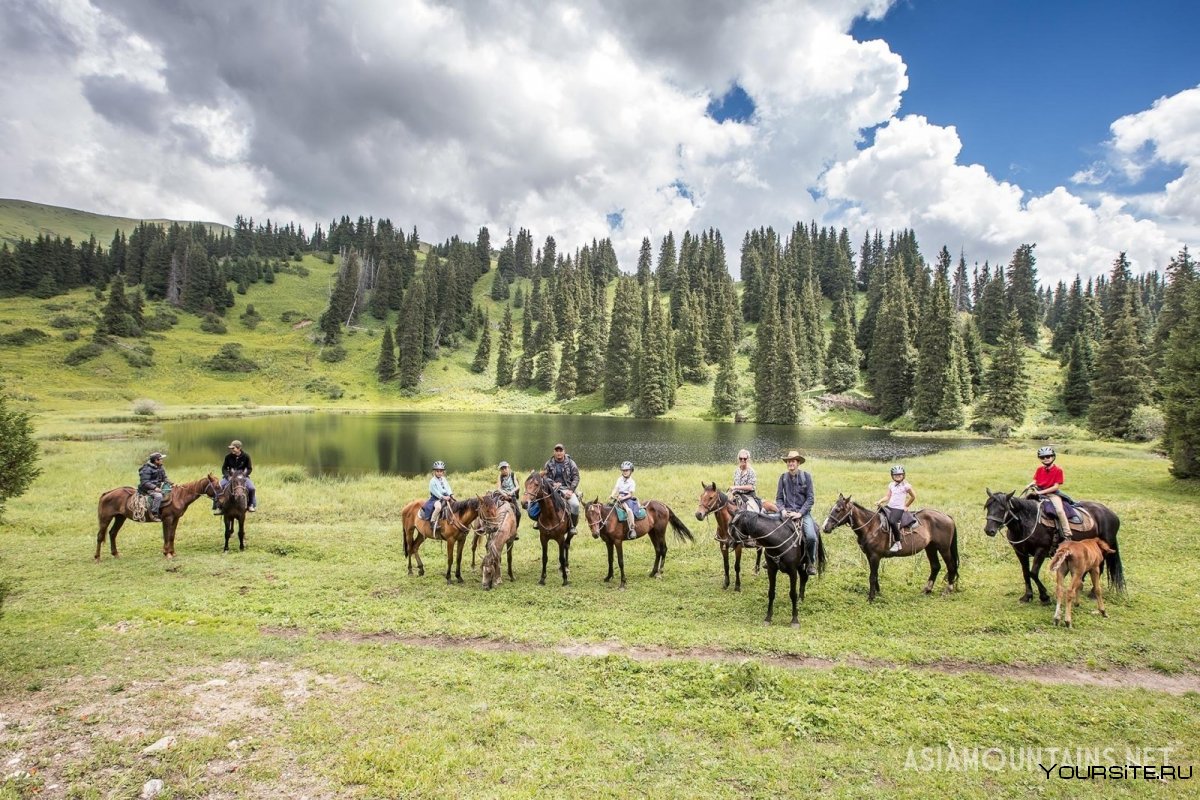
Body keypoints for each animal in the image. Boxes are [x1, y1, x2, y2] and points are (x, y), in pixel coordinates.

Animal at [820, 491, 960, 604]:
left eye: (838, 510)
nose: (825, 527)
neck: (871, 527)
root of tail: (947, 517)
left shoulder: (875, 556)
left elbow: (872, 576)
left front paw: (871, 598)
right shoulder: (869, 556)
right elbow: (874, 574)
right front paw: (877, 593)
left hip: (944, 549)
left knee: (951, 566)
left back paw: (948, 590)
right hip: (930, 547)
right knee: (935, 566)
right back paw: (927, 589)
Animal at [984, 489, 1123, 606]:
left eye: (1002, 508)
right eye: (988, 507)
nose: (989, 530)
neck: (1027, 521)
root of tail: (1113, 515)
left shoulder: (1041, 550)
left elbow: (1033, 573)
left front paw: (1044, 597)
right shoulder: (1020, 552)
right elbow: (1026, 573)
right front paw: (1027, 596)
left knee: (1100, 567)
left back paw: (1093, 593)